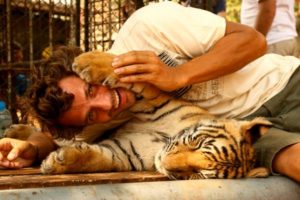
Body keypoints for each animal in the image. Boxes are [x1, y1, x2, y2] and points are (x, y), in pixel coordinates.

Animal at [12, 50, 272, 180]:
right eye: (198, 143)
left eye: (198, 174)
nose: (166, 164)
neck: (162, 140)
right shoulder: (154, 98)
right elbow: (135, 78)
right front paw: (88, 61)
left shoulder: (125, 152)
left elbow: (99, 159)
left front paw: (58, 162)